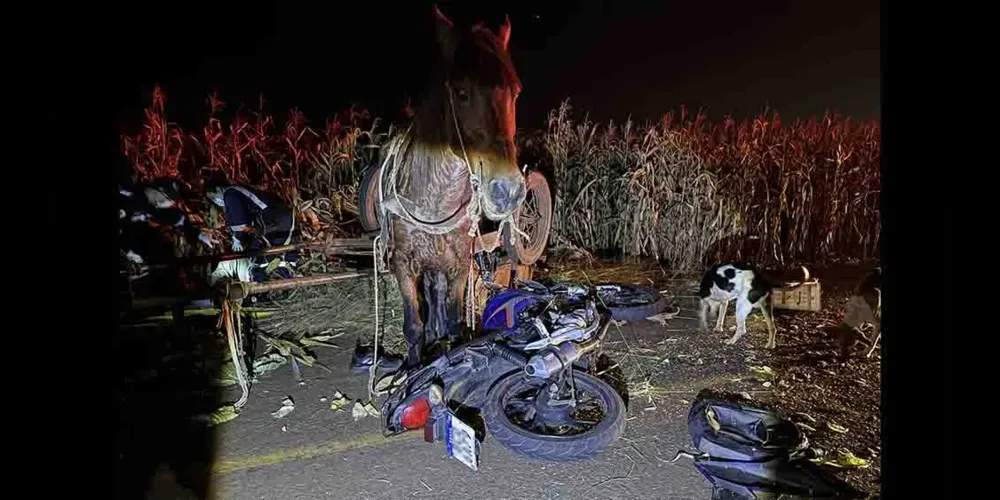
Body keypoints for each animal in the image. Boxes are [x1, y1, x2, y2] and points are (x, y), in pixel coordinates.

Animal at [378, 5, 528, 370]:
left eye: (515, 91)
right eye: (460, 92)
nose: (507, 190)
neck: (435, 202)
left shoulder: (459, 265)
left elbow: (454, 322)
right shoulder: (403, 265)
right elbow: (414, 325)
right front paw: (412, 368)